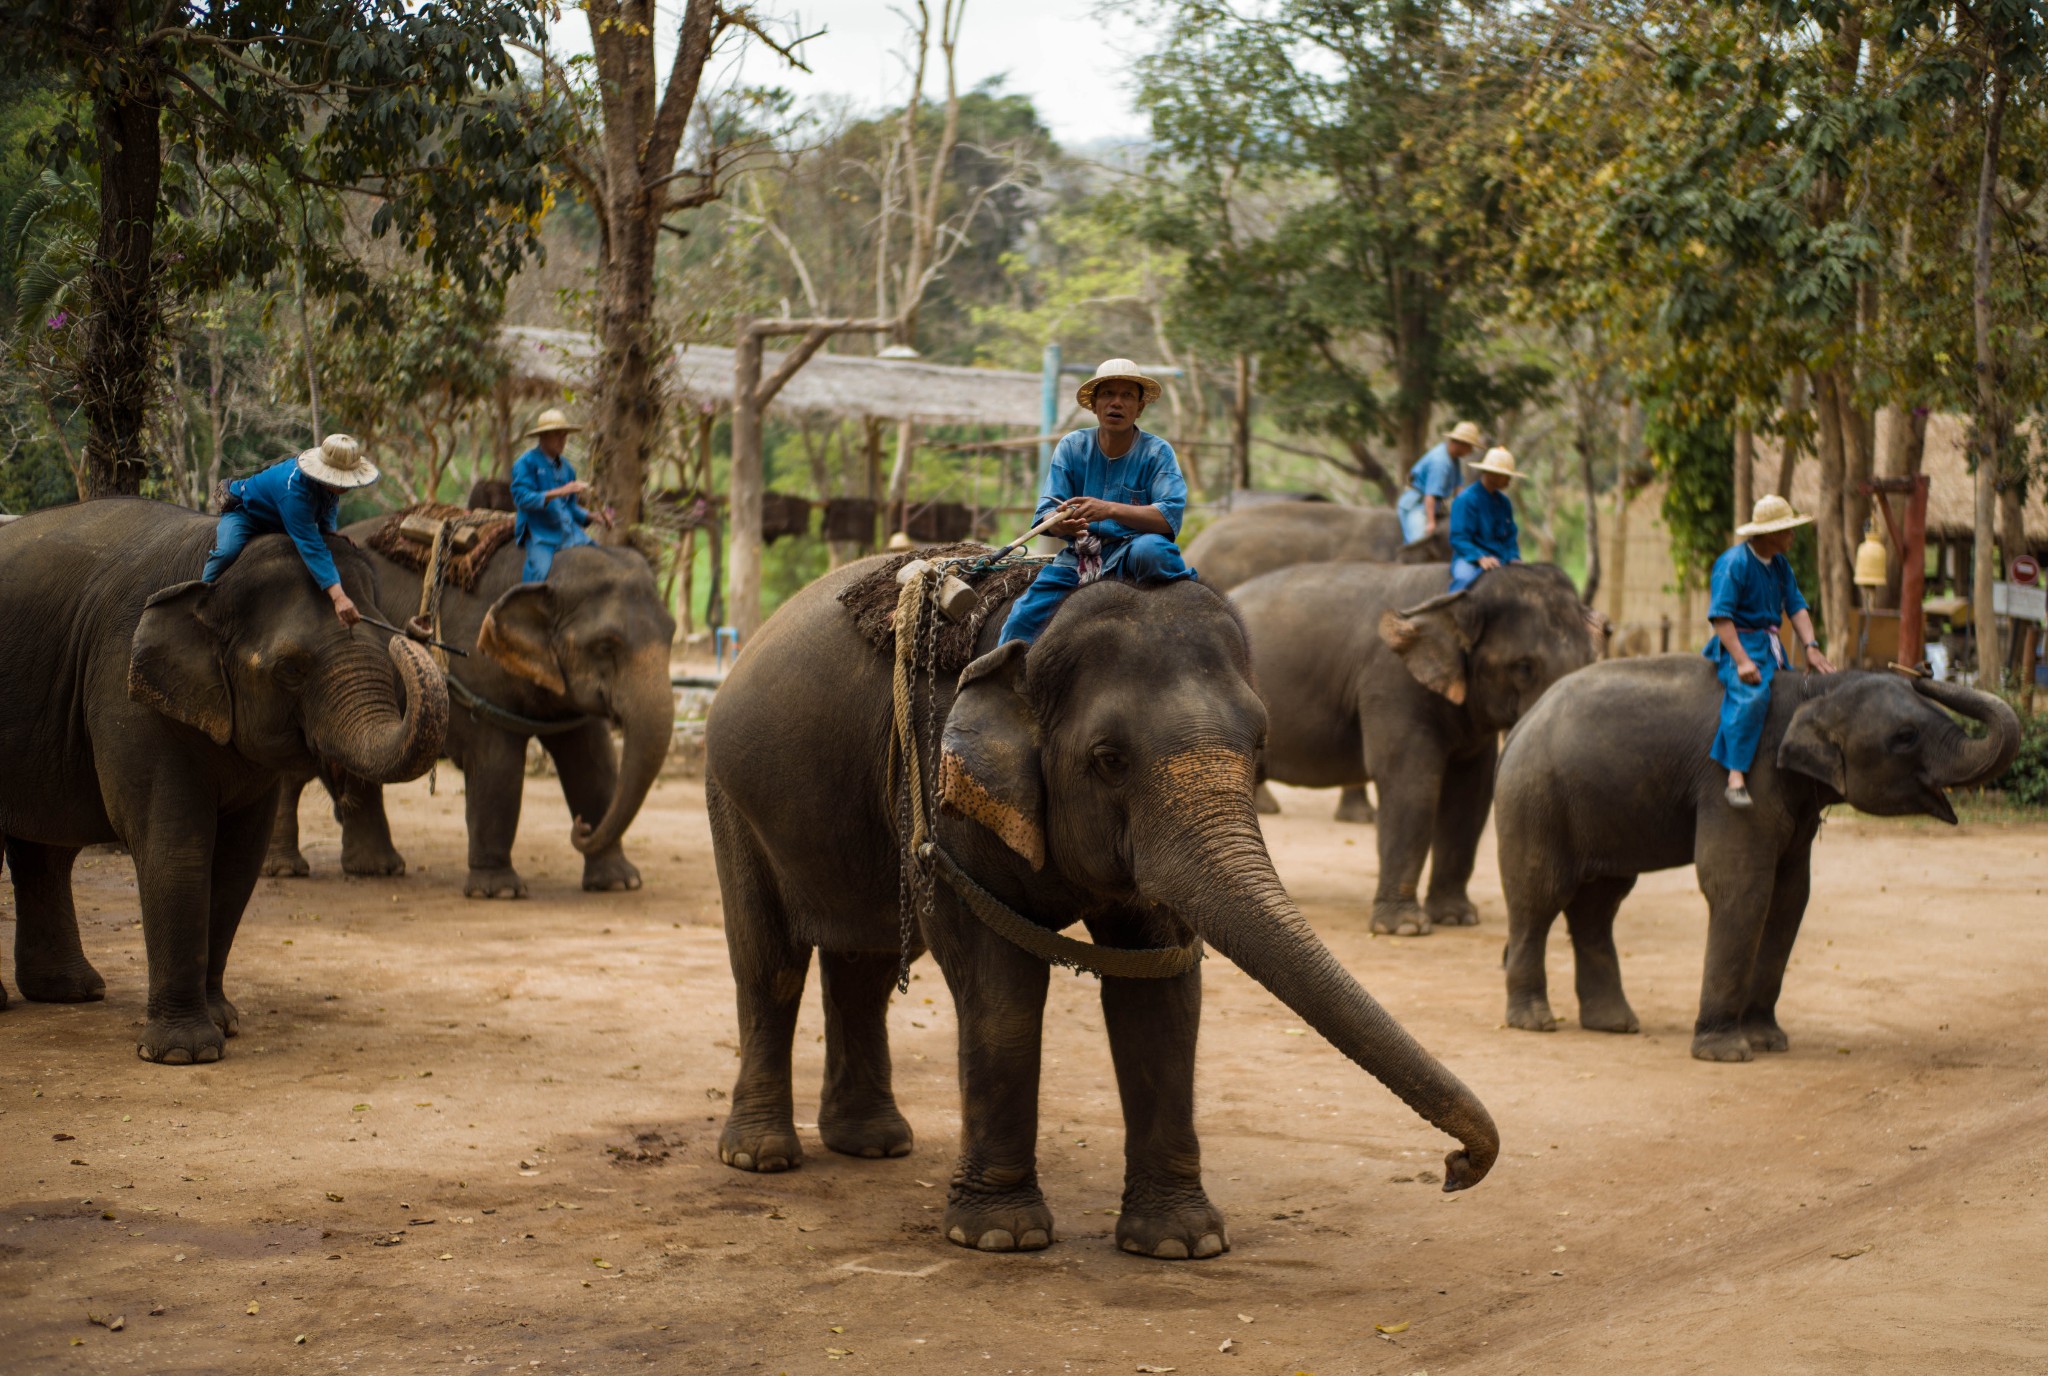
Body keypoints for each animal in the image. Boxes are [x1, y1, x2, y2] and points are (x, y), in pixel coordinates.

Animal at [0, 501, 446, 1064]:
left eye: (387, 643)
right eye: (290, 668)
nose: (419, 627)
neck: (210, 569)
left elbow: (238, 859)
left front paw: (224, 1024)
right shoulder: (125, 685)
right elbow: (176, 847)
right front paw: (182, 1054)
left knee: (45, 850)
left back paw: (72, 993)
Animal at [264, 522, 675, 896]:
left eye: (671, 632)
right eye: (606, 645)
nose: (581, 827)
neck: (545, 568)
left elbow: (594, 763)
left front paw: (619, 883)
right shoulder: (476, 671)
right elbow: (498, 766)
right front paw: (499, 892)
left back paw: (376, 869)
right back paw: (285, 870)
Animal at [708, 556, 1507, 1261]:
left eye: (1259, 746)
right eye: (1109, 760)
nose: (1453, 1171)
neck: (1033, 635)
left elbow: (1159, 988)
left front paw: (1182, 1244)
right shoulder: (943, 794)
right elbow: (1000, 985)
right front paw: (1000, 1238)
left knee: (864, 966)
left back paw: (874, 1144)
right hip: (732, 796)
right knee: (770, 964)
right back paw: (761, 1157)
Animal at [1220, 556, 1605, 933]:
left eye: (1590, 661)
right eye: (1523, 667)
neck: (1460, 595)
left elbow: (1470, 791)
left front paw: (1455, 919)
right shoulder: (1392, 682)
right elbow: (1410, 784)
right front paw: (1403, 928)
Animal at [1499, 659, 2023, 1056]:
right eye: (1906, 737)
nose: (1920, 668)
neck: (1812, 691)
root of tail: (1520, 725)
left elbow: (1791, 896)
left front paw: (1769, 1042)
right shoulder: (1736, 780)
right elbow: (1740, 887)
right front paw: (1726, 1053)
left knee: (1599, 904)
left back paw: (1616, 1024)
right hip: (1535, 801)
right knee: (1538, 898)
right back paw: (1535, 1021)